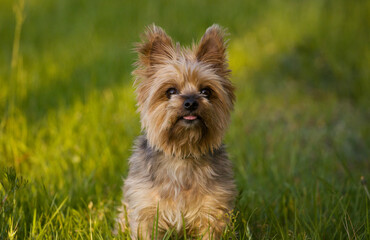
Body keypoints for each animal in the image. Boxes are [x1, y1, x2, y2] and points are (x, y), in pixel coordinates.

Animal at [117, 24, 236, 240]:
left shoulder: (213, 210)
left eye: (206, 91)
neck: (182, 154)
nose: (190, 102)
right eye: (170, 91)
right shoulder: (146, 208)